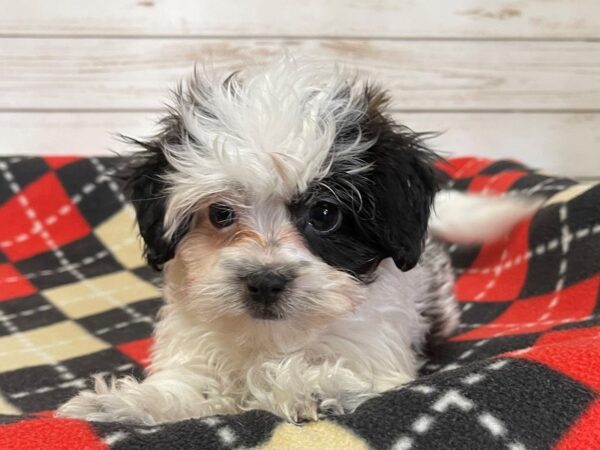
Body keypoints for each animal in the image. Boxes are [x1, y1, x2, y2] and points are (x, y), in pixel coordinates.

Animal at [57, 58, 540, 424]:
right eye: (220, 214)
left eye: (325, 214)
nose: (265, 282)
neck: (273, 338)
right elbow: (187, 385)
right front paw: (124, 403)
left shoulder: (373, 354)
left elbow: (310, 375)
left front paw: (310, 385)